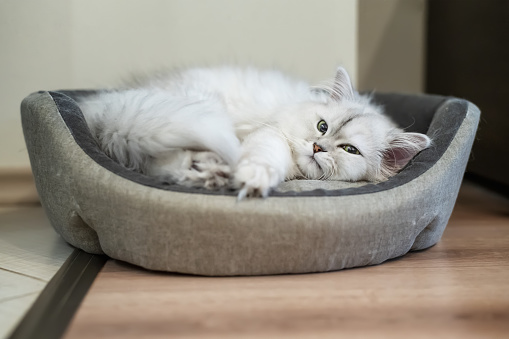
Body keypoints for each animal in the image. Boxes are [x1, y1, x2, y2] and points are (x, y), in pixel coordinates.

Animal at [78, 65, 428, 199]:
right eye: (322, 126)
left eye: (349, 150)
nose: (317, 147)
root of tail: (103, 107)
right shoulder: (269, 136)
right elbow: (264, 160)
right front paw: (252, 181)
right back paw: (213, 173)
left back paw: (210, 174)